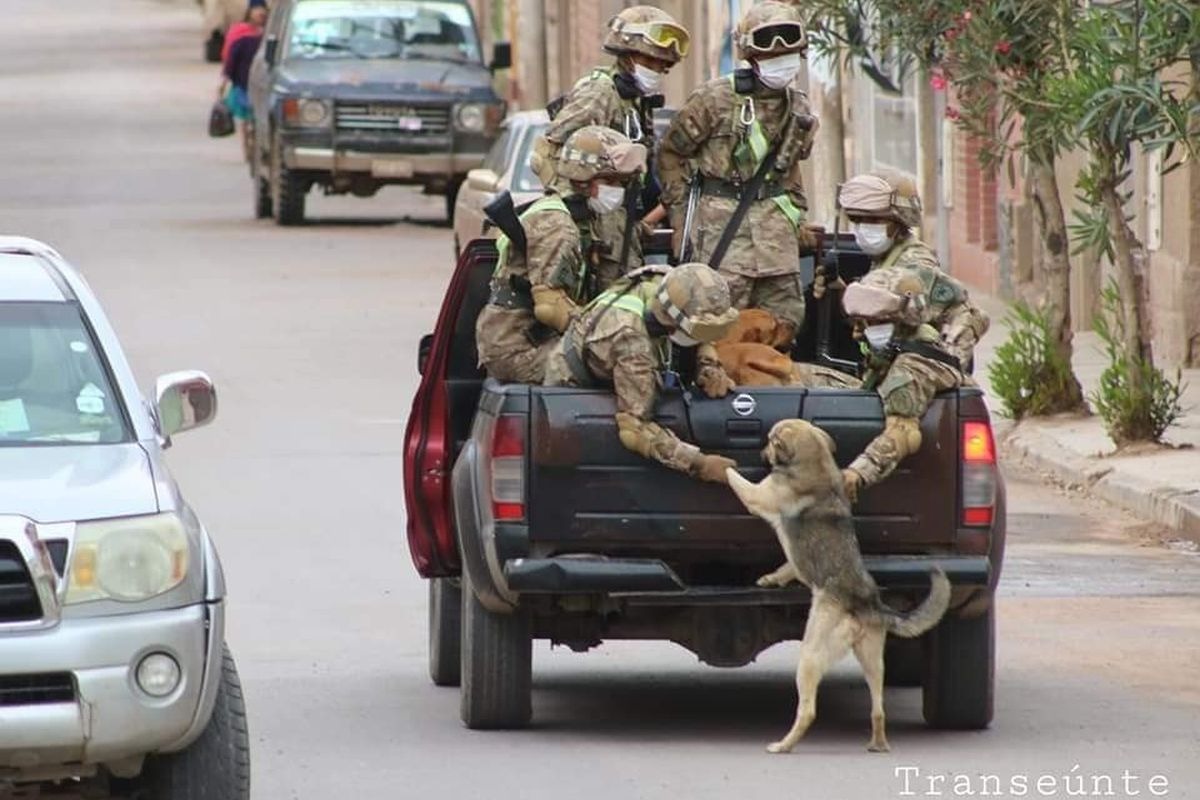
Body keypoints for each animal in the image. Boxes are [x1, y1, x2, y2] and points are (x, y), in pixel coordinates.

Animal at [725, 419, 950, 754]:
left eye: (770, 440)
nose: (762, 454)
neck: (816, 461)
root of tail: (869, 603)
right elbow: (788, 566)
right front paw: (773, 578)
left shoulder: (758, 497)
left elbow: (736, 480)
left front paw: (715, 462)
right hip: (873, 661)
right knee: (878, 709)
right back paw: (877, 744)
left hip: (810, 654)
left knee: (808, 711)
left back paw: (783, 745)